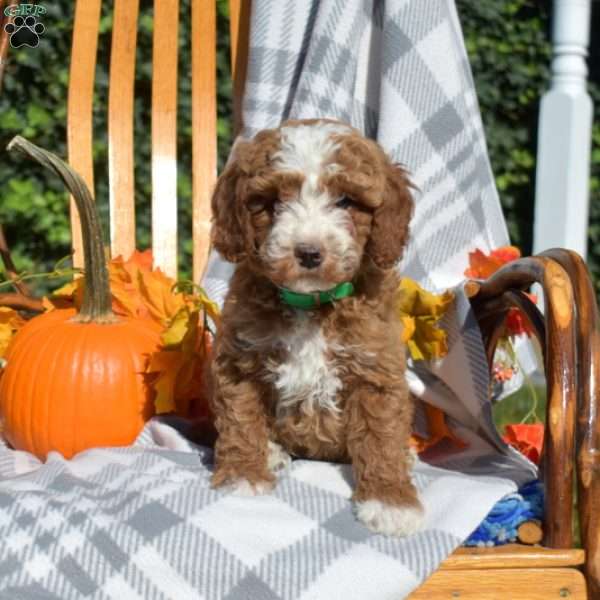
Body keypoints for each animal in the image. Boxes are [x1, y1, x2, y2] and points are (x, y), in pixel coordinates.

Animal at [209, 119, 424, 536]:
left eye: (345, 202)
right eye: (272, 202)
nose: (308, 252)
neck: (310, 303)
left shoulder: (376, 370)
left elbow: (382, 436)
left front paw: (391, 501)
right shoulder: (240, 359)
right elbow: (240, 420)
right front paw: (243, 475)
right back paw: (272, 452)